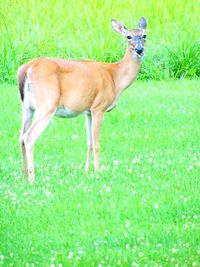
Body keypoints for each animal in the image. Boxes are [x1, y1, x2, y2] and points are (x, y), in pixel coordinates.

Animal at [17, 17, 147, 184]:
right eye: (128, 36)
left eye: (144, 35)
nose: (139, 50)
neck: (115, 77)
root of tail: (28, 68)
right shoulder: (99, 107)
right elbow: (97, 143)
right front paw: (98, 171)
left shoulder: (88, 111)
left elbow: (89, 142)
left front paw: (86, 171)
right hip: (47, 104)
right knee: (29, 137)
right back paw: (32, 178)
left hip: (27, 107)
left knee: (21, 136)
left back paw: (23, 176)